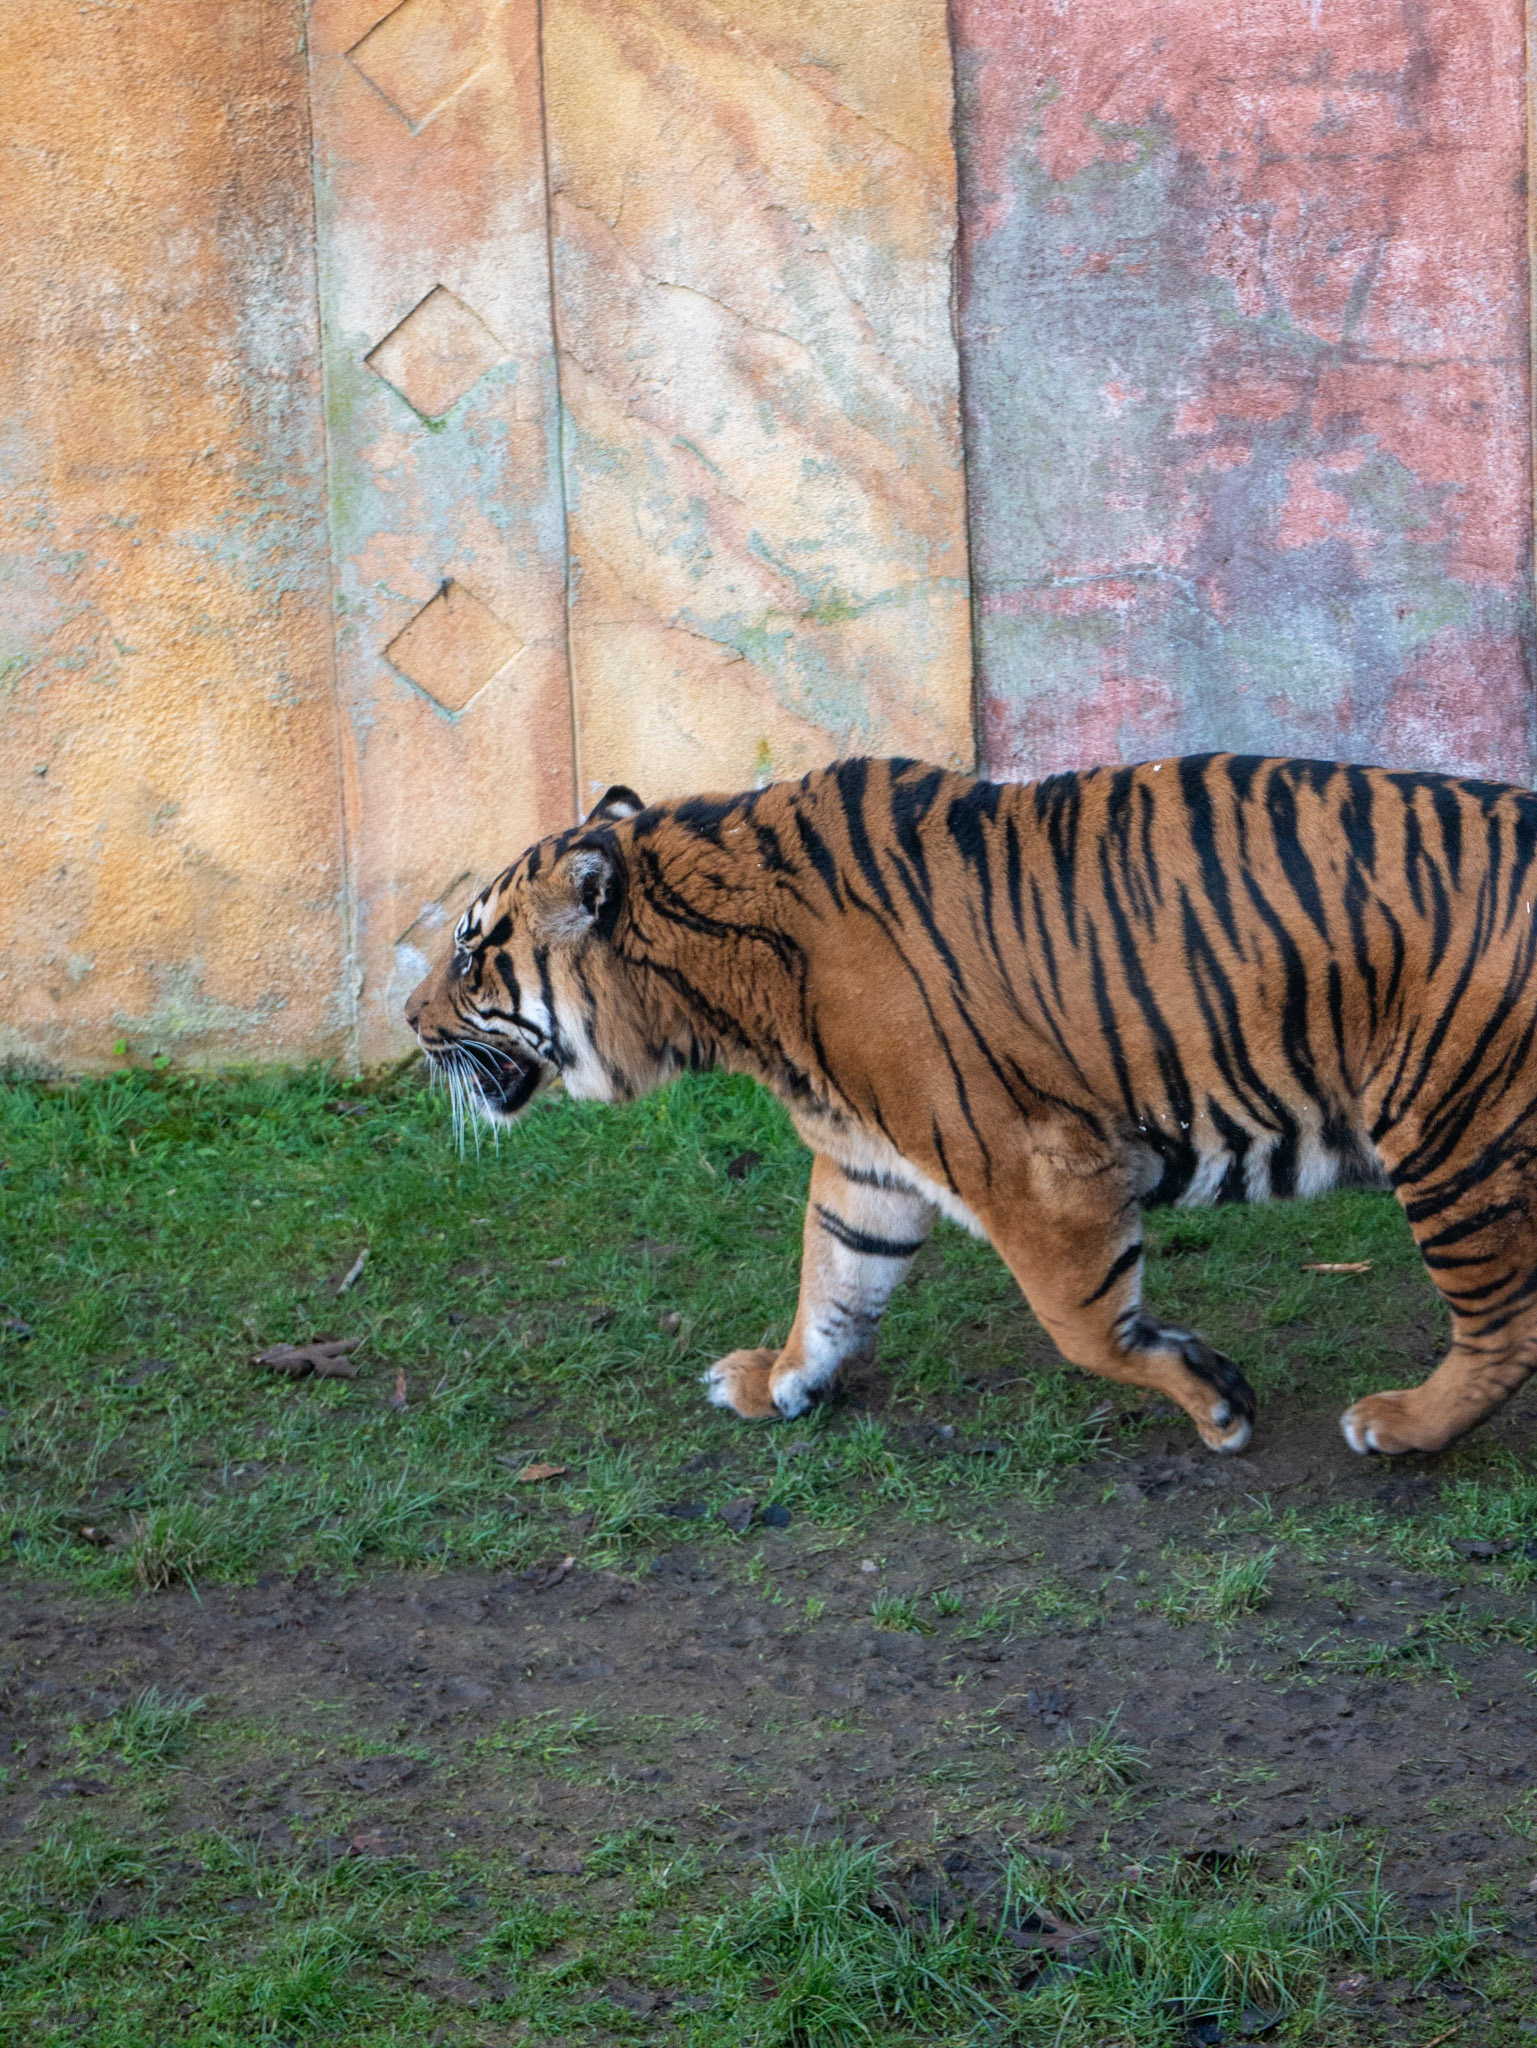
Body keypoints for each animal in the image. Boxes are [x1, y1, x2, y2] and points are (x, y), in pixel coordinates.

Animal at [405, 753, 1537, 1459]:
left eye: (470, 949)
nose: (411, 1023)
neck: (718, 987)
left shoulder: (1034, 1163)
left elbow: (1082, 1325)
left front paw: (1214, 1400)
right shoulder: (868, 1160)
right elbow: (831, 1283)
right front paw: (778, 1383)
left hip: (1455, 1138)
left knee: (1504, 1327)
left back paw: (1398, 1427)